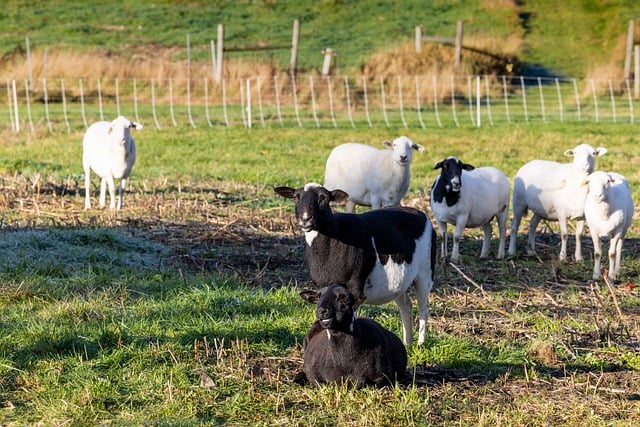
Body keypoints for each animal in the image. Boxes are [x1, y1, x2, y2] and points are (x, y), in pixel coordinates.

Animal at [276, 184, 436, 348]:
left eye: (324, 197)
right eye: (296, 197)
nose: (305, 218)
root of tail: (420, 213)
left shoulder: (355, 288)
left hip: (425, 272)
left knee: (423, 307)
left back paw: (421, 343)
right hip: (398, 283)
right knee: (406, 306)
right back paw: (407, 344)